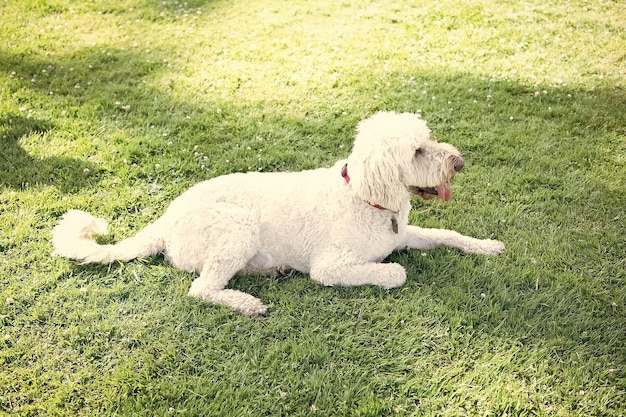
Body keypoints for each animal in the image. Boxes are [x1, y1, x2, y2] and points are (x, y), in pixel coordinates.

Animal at [52, 110, 502, 316]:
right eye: (418, 151)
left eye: (428, 140)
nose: (459, 163)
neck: (362, 198)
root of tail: (166, 219)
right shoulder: (330, 267)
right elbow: (396, 272)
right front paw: (391, 271)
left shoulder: (403, 232)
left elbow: (448, 236)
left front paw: (486, 246)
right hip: (237, 227)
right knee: (201, 288)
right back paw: (246, 301)